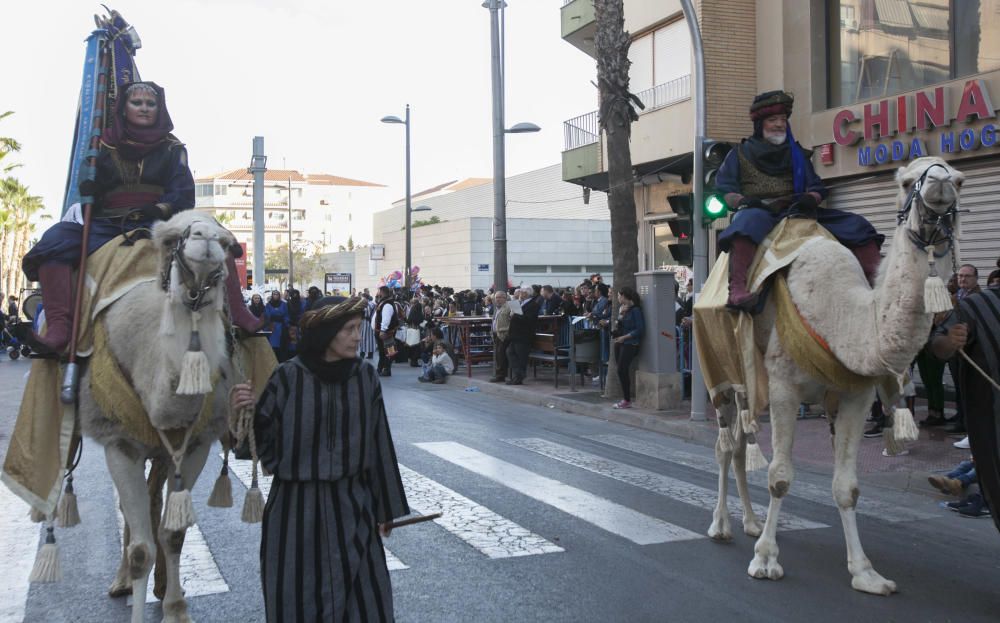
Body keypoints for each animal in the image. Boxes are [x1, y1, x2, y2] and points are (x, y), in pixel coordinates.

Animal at [78, 211, 238, 623]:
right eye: (170, 239)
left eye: (229, 244)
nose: (206, 239)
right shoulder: (121, 444)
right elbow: (140, 549)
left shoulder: (195, 445)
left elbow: (174, 534)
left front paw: (176, 609)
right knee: (132, 512)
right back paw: (121, 581)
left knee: (153, 503)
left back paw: (163, 585)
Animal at [708, 157, 964, 596]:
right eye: (907, 181)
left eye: (959, 180)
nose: (941, 184)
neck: (841, 313)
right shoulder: (784, 386)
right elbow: (779, 476)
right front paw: (765, 560)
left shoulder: (855, 394)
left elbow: (847, 487)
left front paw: (866, 573)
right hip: (723, 371)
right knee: (725, 447)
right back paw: (721, 526)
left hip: (748, 383)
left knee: (740, 446)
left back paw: (752, 522)